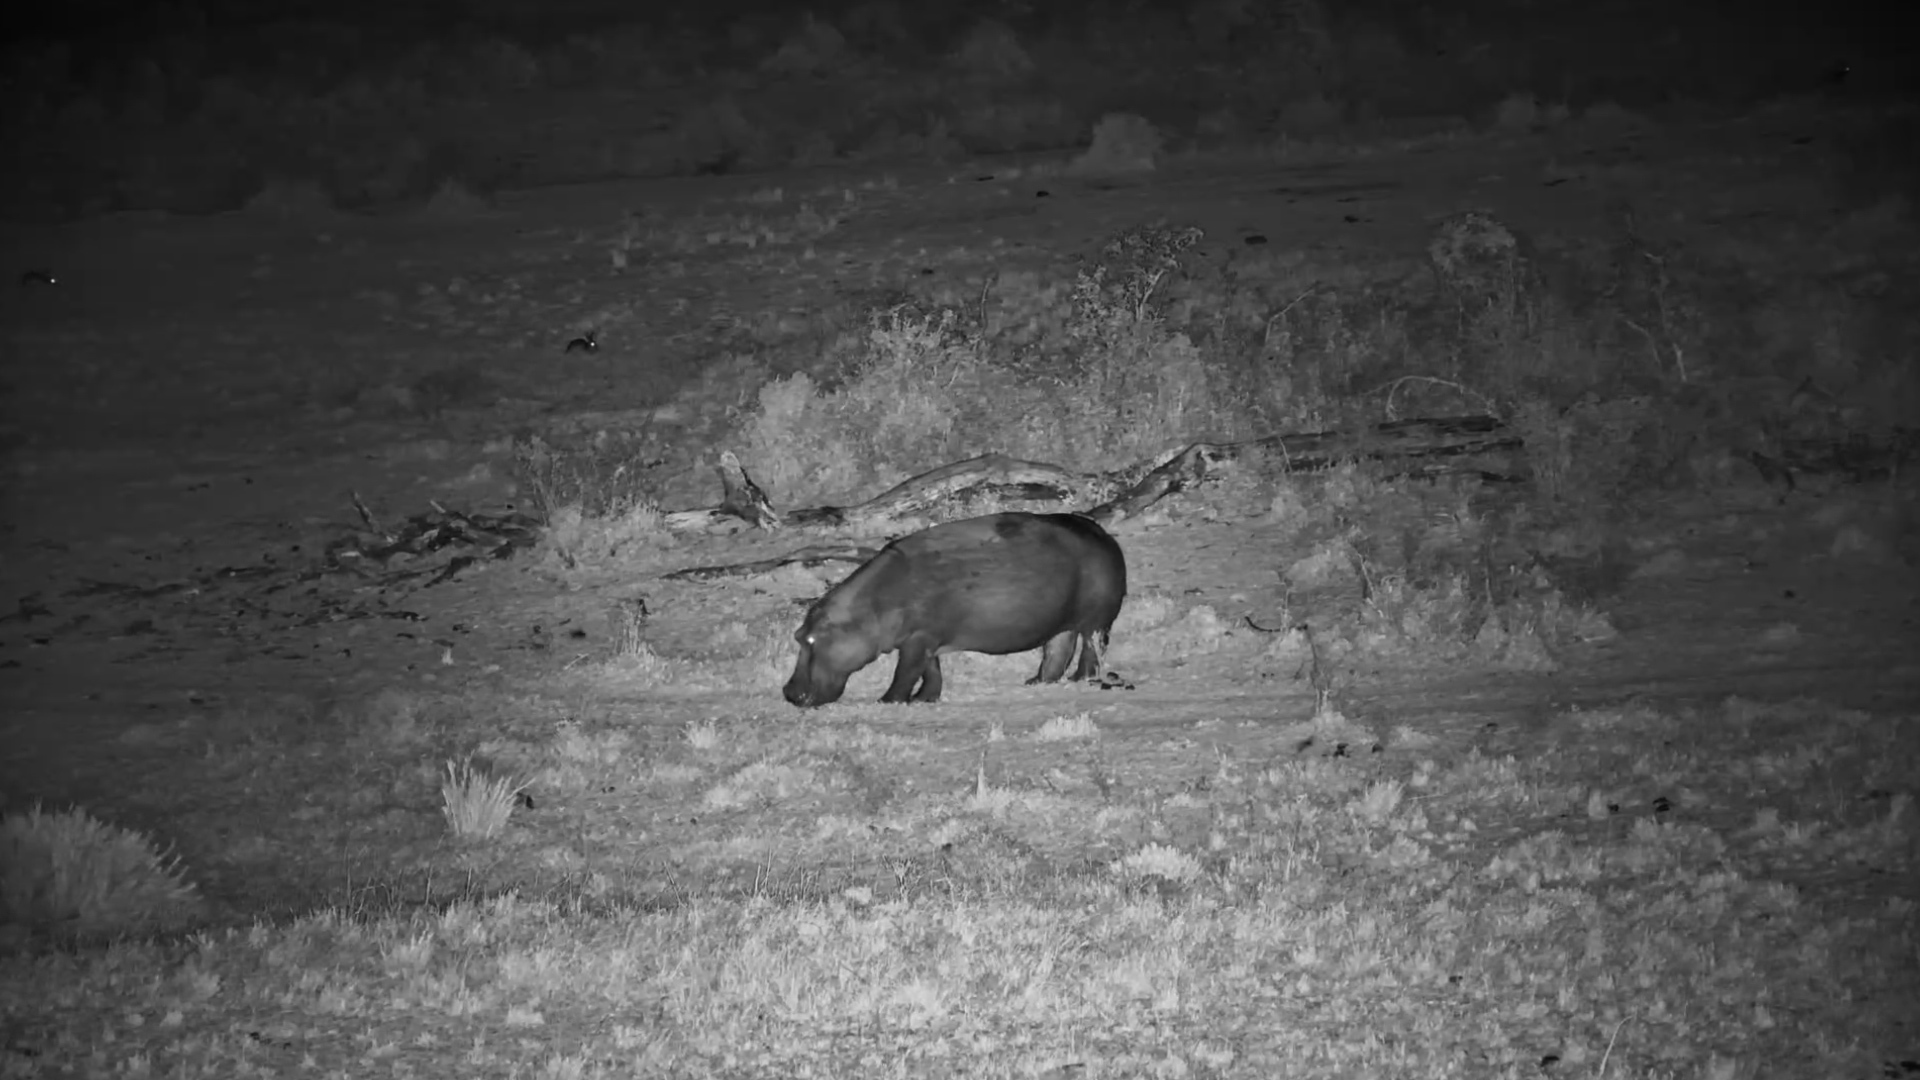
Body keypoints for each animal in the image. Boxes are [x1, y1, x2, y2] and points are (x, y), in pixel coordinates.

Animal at [783, 512, 1127, 707]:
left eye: (808, 639)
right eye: (798, 635)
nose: (788, 692)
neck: (870, 607)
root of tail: (1104, 535)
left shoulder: (917, 638)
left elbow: (905, 672)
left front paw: (887, 700)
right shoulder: (926, 639)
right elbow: (930, 670)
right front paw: (924, 699)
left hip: (1096, 620)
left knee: (1089, 651)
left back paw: (1079, 679)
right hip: (1060, 621)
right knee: (1057, 651)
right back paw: (1036, 681)